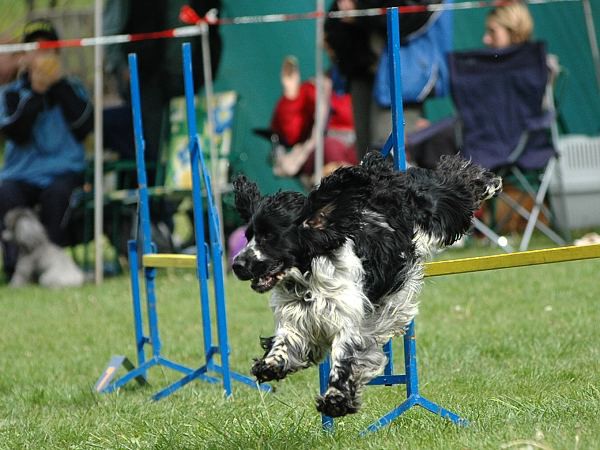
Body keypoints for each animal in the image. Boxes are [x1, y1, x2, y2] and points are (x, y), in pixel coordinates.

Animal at [231, 152, 502, 418]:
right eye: (248, 236)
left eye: (269, 236)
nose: (236, 264)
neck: (308, 280)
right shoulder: (298, 318)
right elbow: (285, 341)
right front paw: (270, 365)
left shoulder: (350, 321)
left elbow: (344, 355)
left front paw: (336, 399)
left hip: (439, 214)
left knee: (456, 182)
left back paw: (491, 182)